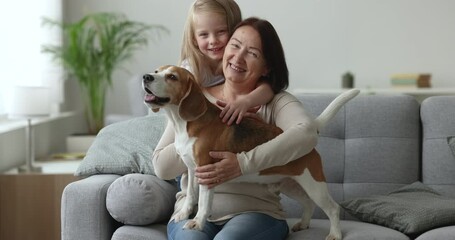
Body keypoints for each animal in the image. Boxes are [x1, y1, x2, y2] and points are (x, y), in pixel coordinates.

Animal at [144, 65, 362, 240]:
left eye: (172, 77)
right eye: (156, 71)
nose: (146, 77)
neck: (184, 123)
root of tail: (313, 127)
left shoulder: (207, 173)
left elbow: (204, 204)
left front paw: (197, 223)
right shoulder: (192, 170)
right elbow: (190, 195)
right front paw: (183, 214)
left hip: (314, 185)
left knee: (332, 208)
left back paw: (335, 234)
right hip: (290, 185)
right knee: (308, 203)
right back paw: (304, 223)